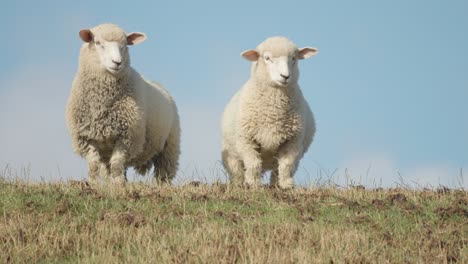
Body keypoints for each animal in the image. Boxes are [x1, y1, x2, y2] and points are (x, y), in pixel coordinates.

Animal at [66, 23, 180, 186]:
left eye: (125, 45)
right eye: (98, 43)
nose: (117, 62)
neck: (102, 104)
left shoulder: (127, 137)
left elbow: (117, 164)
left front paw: (119, 185)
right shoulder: (85, 137)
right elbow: (93, 164)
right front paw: (93, 184)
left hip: (169, 146)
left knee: (163, 173)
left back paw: (161, 186)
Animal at [220, 36, 318, 189]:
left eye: (293, 58)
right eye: (267, 58)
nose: (285, 76)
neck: (273, 112)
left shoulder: (292, 141)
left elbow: (286, 165)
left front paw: (286, 185)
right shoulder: (247, 140)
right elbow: (253, 164)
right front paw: (253, 184)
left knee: (277, 170)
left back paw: (275, 186)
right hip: (231, 154)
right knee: (238, 171)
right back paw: (239, 184)